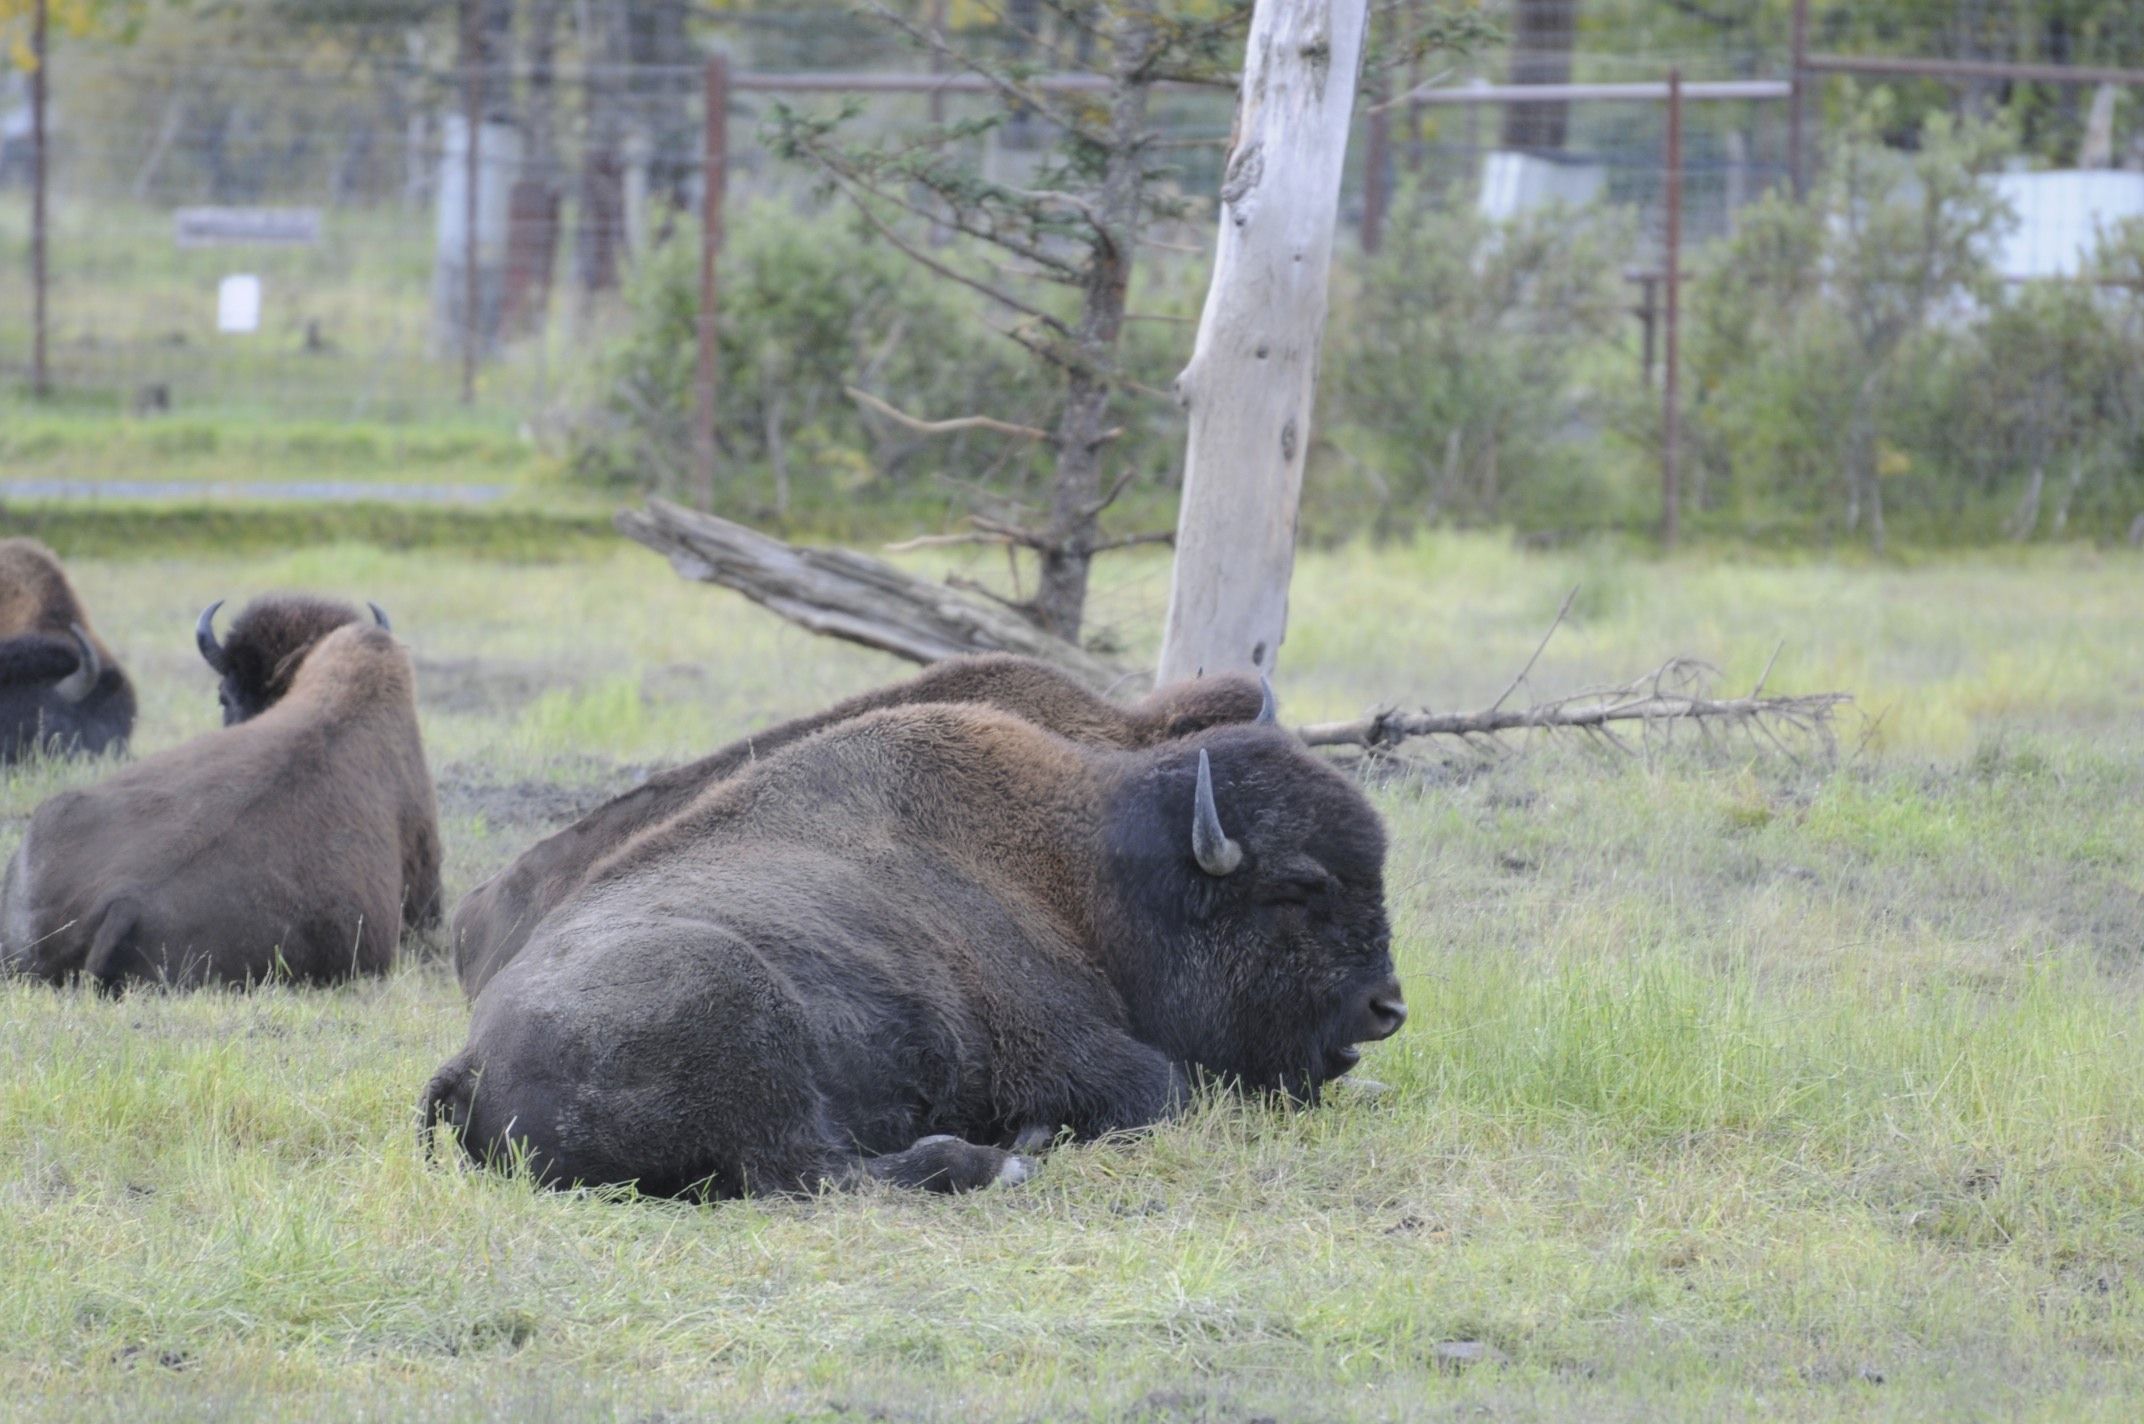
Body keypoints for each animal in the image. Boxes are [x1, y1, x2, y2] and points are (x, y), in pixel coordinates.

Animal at [428, 690, 1406, 1200]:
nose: (1386, 1008)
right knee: (816, 1171)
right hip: (740, 1020)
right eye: (1299, 887)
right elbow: (1165, 1089)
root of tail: (469, 1058)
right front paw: (1034, 1132)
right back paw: (1001, 1160)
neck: (1093, 876)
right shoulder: (1072, 1051)